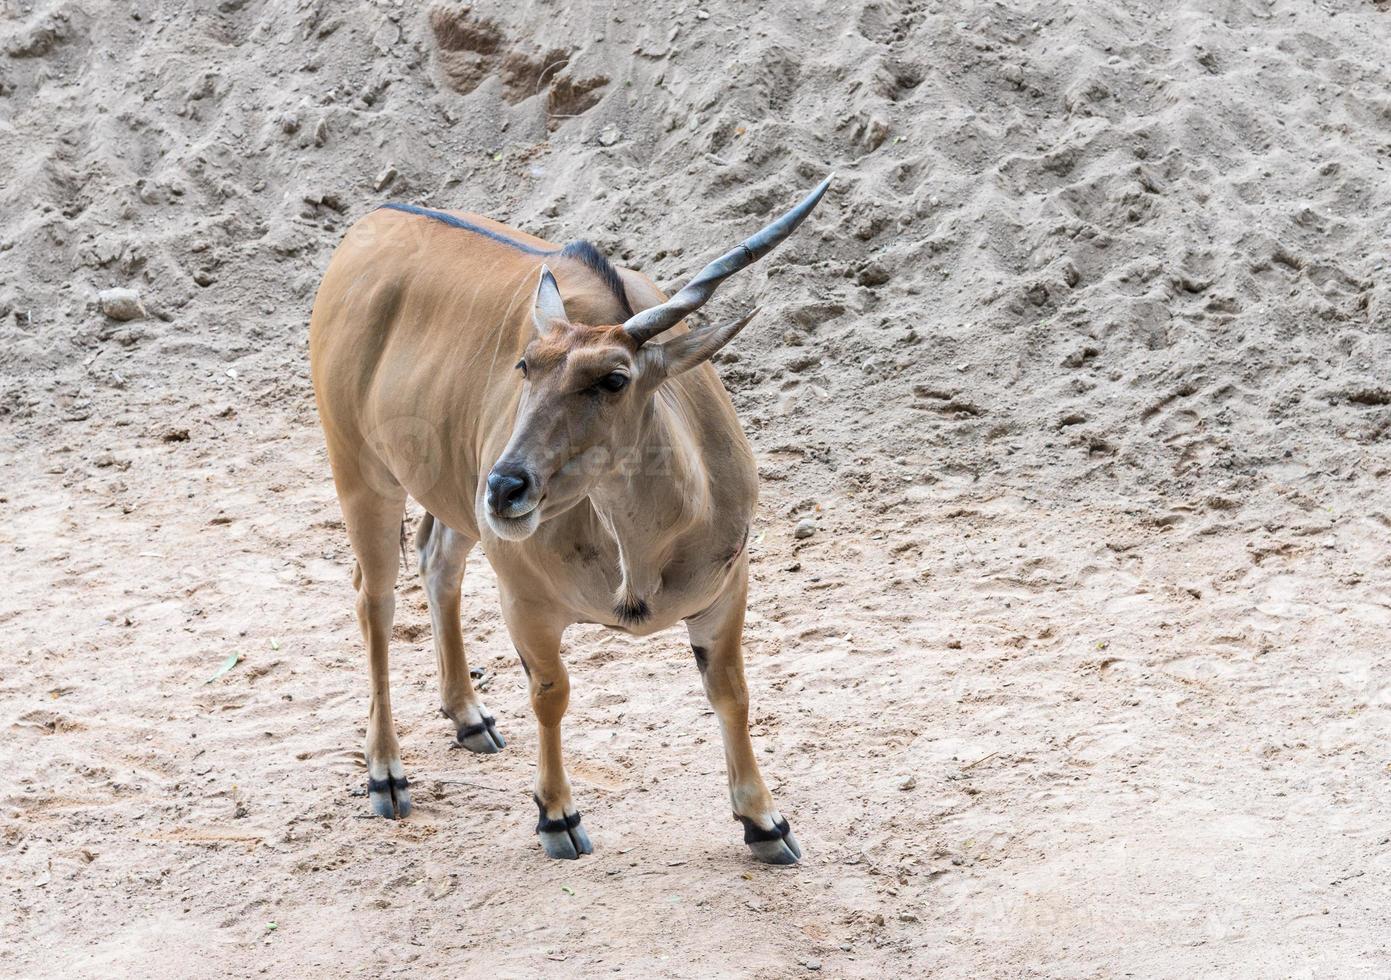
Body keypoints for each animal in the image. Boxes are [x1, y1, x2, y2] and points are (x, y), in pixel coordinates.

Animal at [310, 177, 829, 861]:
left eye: (613, 378)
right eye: (525, 365)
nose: (505, 487)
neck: (643, 555)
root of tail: (368, 225)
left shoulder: (726, 591)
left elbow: (732, 693)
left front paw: (765, 824)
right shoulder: (525, 601)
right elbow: (551, 695)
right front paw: (557, 816)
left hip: (451, 500)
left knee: (435, 560)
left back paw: (470, 718)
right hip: (362, 473)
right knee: (375, 599)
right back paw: (386, 775)